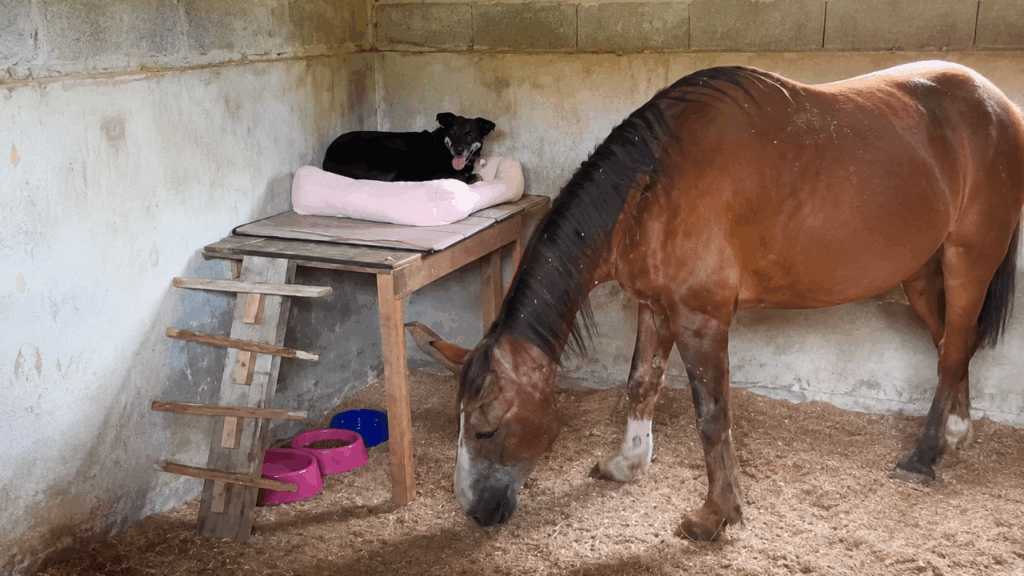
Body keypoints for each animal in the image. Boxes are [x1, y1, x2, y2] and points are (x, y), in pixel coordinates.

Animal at [428, 61, 1024, 540]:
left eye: (484, 428)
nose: (476, 513)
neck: (652, 187)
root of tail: (998, 104)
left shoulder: (702, 318)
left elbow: (712, 417)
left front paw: (715, 516)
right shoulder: (655, 306)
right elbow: (640, 384)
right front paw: (628, 464)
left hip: (968, 263)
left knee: (953, 349)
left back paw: (924, 455)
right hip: (921, 274)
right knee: (952, 345)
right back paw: (956, 435)